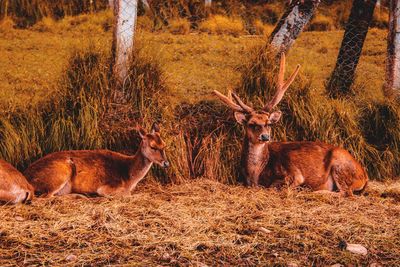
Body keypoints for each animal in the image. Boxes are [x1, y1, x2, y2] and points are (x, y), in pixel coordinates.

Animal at [25, 124, 169, 199]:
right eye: (153, 146)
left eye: (164, 145)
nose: (166, 163)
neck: (129, 176)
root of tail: (26, 176)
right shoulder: (106, 187)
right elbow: (126, 194)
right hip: (60, 173)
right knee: (45, 197)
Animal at [216, 53, 368, 198]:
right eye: (251, 124)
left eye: (268, 123)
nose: (265, 136)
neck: (256, 173)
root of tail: (364, 176)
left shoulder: (295, 174)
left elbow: (273, 186)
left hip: (340, 166)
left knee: (346, 193)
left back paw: (314, 192)